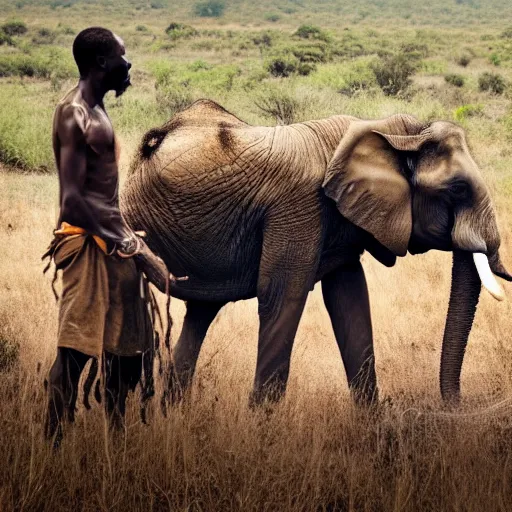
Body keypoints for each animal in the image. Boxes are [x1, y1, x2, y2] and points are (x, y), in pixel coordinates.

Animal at [122, 98, 510, 406]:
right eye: (458, 189)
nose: (457, 404)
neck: (391, 132)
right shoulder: (298, 206)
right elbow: (282, 296)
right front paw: (261, 431)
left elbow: (349, 297)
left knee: (200, 314)